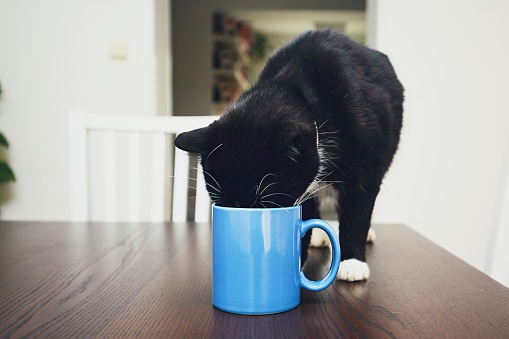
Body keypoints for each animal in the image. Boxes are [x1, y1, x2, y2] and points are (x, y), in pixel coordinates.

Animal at [175, 29, 400, 282]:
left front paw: (353, 262)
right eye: (223, 203)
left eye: (264, 204)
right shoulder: (302, 187)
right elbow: (304, 214)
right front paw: (296, 260)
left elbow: (358, 208)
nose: (243, 212)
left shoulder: (365, 164)